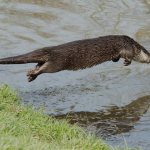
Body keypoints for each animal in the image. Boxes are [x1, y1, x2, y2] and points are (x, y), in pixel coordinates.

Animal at [0, 34, 149, 82]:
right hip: (57, 63)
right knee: (44, 68)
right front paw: (127, 62)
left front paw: (116, 59)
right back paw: (32, 73)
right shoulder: (126, 46)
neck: (133, 45)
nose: (149, 61)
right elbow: (128, 55)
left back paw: (31, 75)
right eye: (149, 55)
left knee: (39, 64)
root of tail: (51, 49)